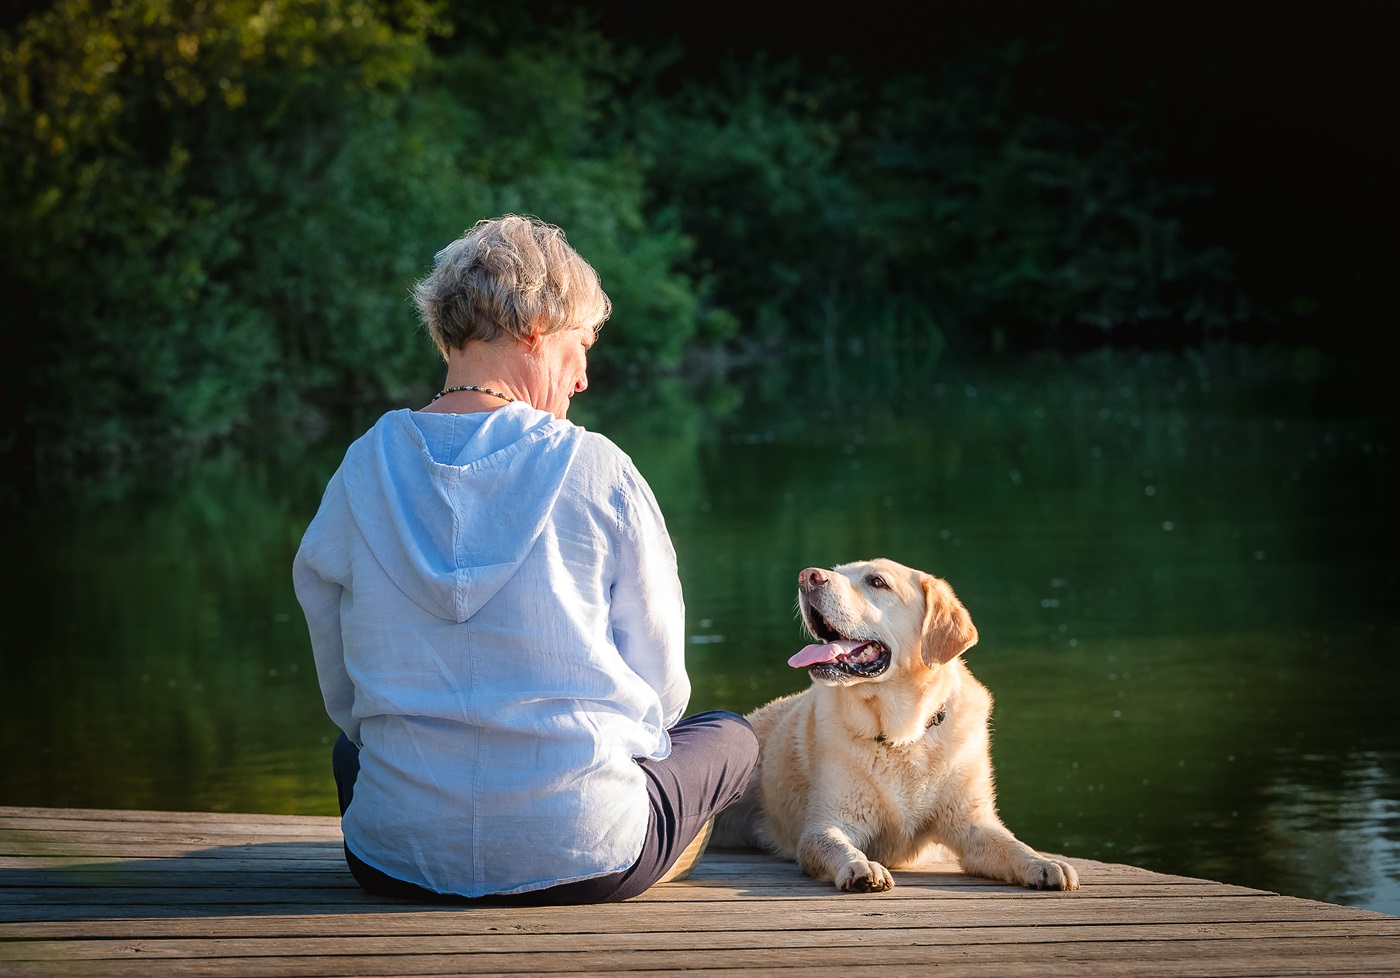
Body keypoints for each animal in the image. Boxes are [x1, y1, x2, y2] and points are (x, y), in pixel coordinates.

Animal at [716, 559, 1075, 895]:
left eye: (877, 581)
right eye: (837, 570)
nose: (807, 576)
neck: (902, 735)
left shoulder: (971, 823)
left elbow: (1012, 845)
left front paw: (1044, 863)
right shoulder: (828, 823)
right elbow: (836, 845)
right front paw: (861, 867)